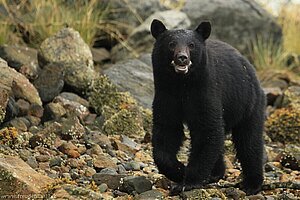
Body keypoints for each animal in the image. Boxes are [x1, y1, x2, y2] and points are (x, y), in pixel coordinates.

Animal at [150, 19, 264, 195]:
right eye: (171, 44)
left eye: (191, 45)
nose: (182, 58)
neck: (181, 84)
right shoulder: (166, 94)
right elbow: (167, 130)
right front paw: (178, 170)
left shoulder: (205, 91)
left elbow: (207, 130)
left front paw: (188, 182)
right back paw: (215, 174)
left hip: (249, 104)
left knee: (249, 142)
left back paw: (252, 184)